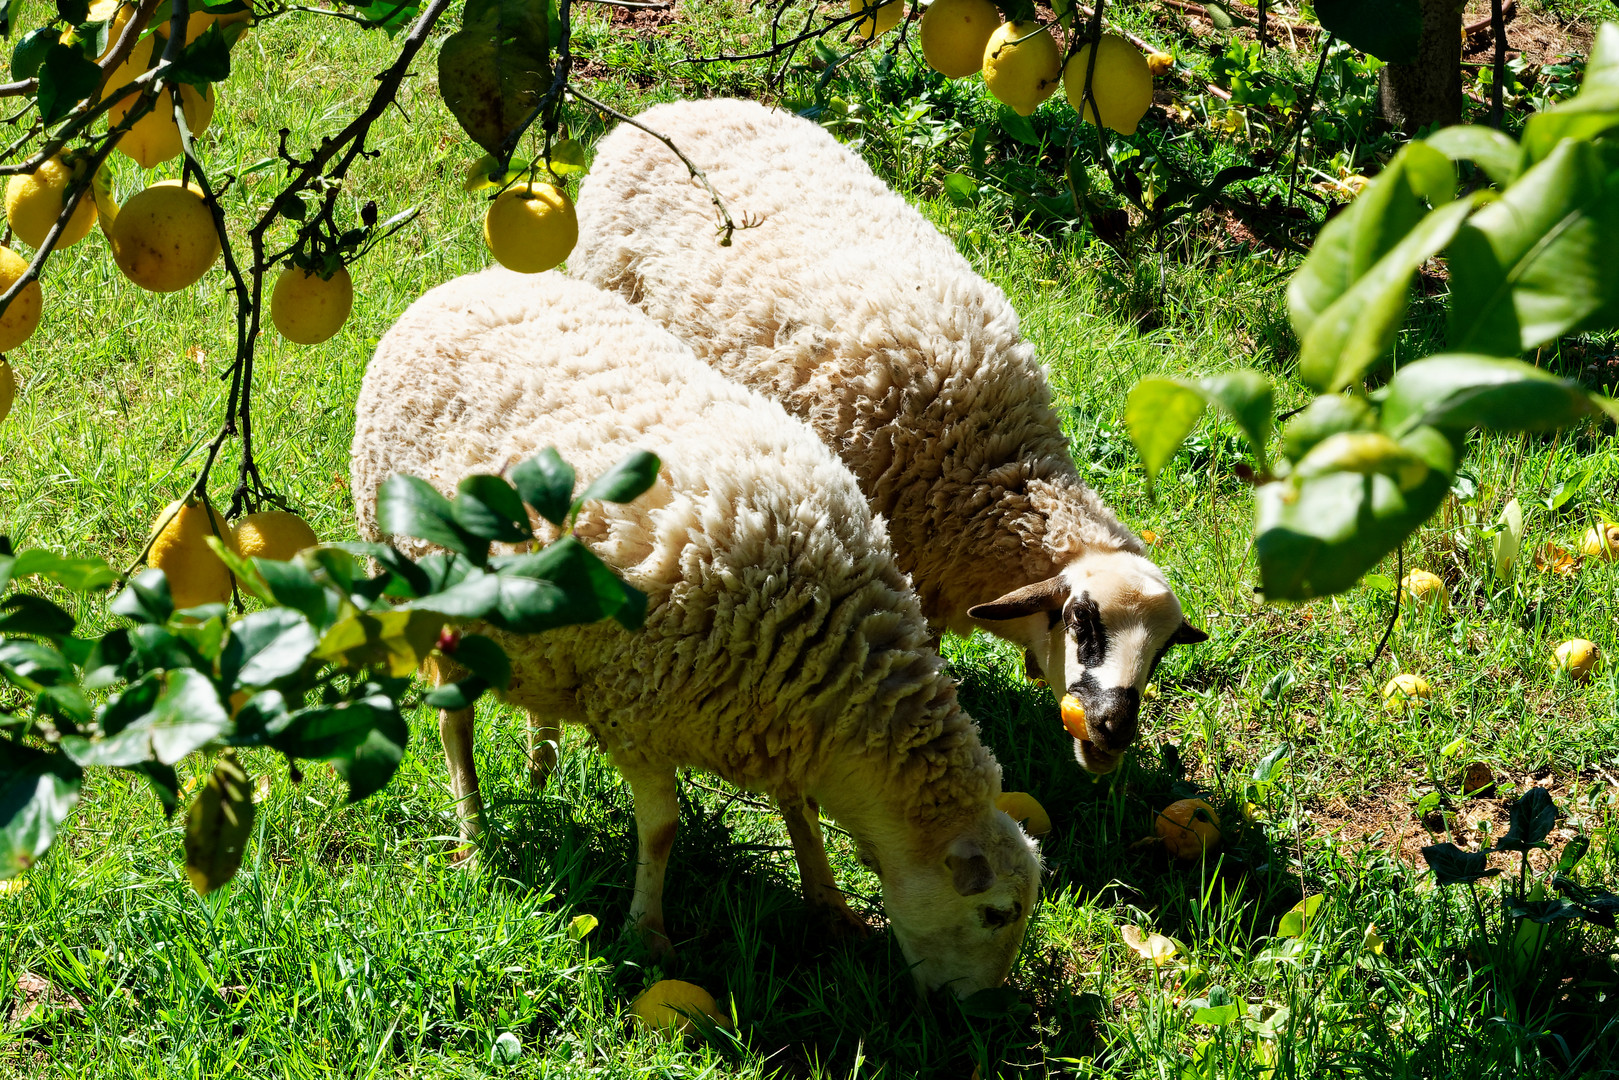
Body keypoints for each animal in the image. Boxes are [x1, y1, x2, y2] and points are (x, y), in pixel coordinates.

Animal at [349, 268, 1042, 997]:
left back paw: (541, 765)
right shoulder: (638, 714)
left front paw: (829, 902)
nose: (977, 1008)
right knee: (452, 726)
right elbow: (660, 830)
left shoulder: (772, 719)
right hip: (428, 593)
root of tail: (456, 285)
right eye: (996, 913)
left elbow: (799, 811)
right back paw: (474, 833)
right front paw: (647, 934)